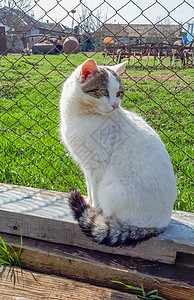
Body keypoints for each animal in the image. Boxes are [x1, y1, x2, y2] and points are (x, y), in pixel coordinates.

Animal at [59, 58, 177, 246]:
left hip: (113, 188)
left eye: (119, 93)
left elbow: (95, 193)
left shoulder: (97, 165)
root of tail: (161, 225)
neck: (80, 116)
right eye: (104, 92)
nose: (115, 105)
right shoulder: (87, 166)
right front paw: (88, 203)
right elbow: (90, 189)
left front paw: (93, 210)